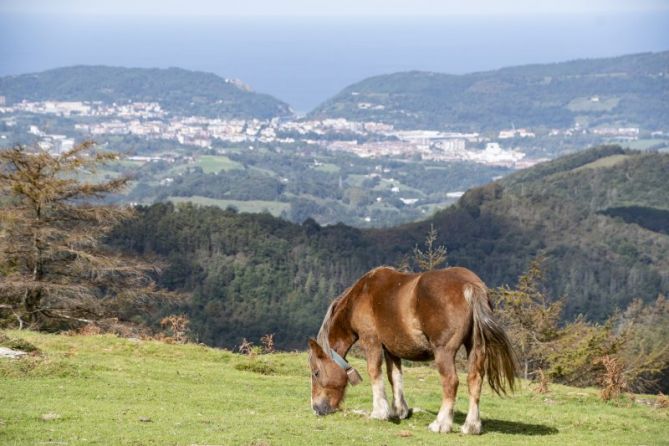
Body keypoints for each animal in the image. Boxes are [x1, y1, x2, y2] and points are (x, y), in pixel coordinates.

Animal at [308, 266, 516, 434]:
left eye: (316, 373)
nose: (316, 408)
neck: (362, 295)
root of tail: (470, 285)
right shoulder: (391, 348)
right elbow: (395, 376)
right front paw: (399, 410)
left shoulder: (371, 340)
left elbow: (375, 372)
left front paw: (379, 412)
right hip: (475, 346)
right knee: (475, 379)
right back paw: (471, 426)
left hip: (444, 351)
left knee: (451, 381)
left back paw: (441, 424)